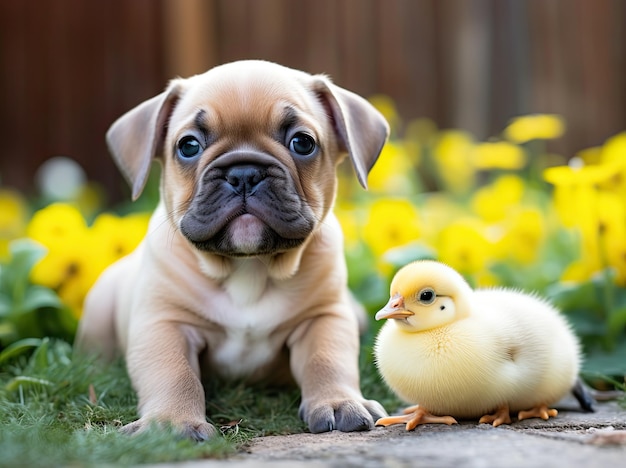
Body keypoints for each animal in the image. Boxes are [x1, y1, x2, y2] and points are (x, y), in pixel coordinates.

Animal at [75, 59, 388, 438]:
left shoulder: (324, 317)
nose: (244, 173)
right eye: (188, 146)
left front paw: (340, 401)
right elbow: (174, 373)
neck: (248, 266)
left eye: (302, 143)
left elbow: (327, 360)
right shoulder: (165, 324)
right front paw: (171, 422)